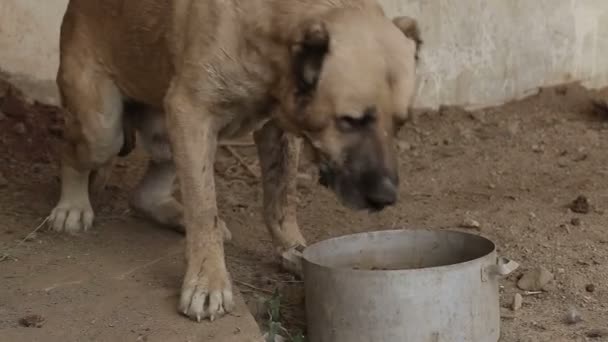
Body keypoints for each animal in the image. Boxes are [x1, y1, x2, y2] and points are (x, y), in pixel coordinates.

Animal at [50, 0, 420, 322]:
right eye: (350, 121)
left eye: (400, 124)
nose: (385, 197)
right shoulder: (192, 112)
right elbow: (204, 208)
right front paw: (208, 280)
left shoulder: (277, 127)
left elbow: (280, 200)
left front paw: (295, 251)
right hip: (102, 128)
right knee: (71, 152)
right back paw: (72, 206)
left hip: (167, 131)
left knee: (145, 194)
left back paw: (176, 216)